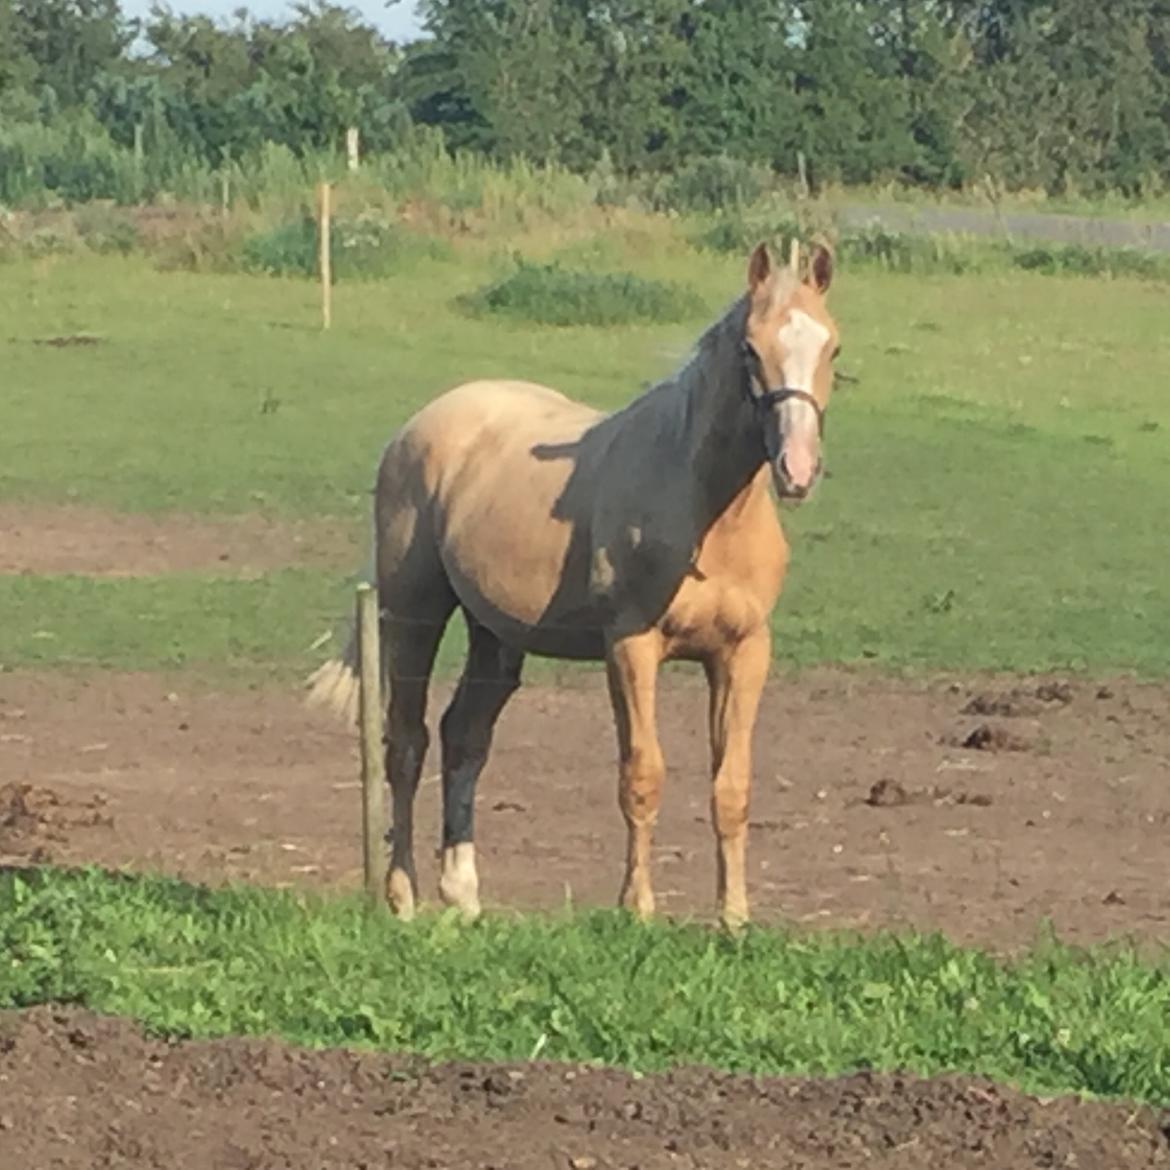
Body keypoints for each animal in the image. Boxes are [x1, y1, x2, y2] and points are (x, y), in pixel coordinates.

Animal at [304, 237, 842, 931]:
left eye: (832, 348)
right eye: (751, 349)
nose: (797, 470)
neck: (704, 512)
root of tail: (416, 427)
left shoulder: (744, 653)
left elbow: (732, 786)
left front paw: (734, 920)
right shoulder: (631, 647)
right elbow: (642, 774)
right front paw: (636, 909)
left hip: (495, 635)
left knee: (463, 737)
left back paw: (464, 895)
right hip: (414, 614)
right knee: (406, 742)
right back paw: (403, 896)